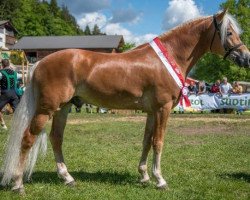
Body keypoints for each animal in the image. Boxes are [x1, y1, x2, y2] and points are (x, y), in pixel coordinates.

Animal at [0, 9, 249, 194]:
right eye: (229, 33)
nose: (245, 57)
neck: (168, 57)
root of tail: (39, 63)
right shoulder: (163, 109)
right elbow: (158, 142)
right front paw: (160, 179)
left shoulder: (151, 111)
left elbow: (147, 141)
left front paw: (144, 176)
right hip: (46, 109)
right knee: (27, 139)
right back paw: (18, 184)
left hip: (63, 108)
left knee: (56, 139)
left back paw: (67, 178)